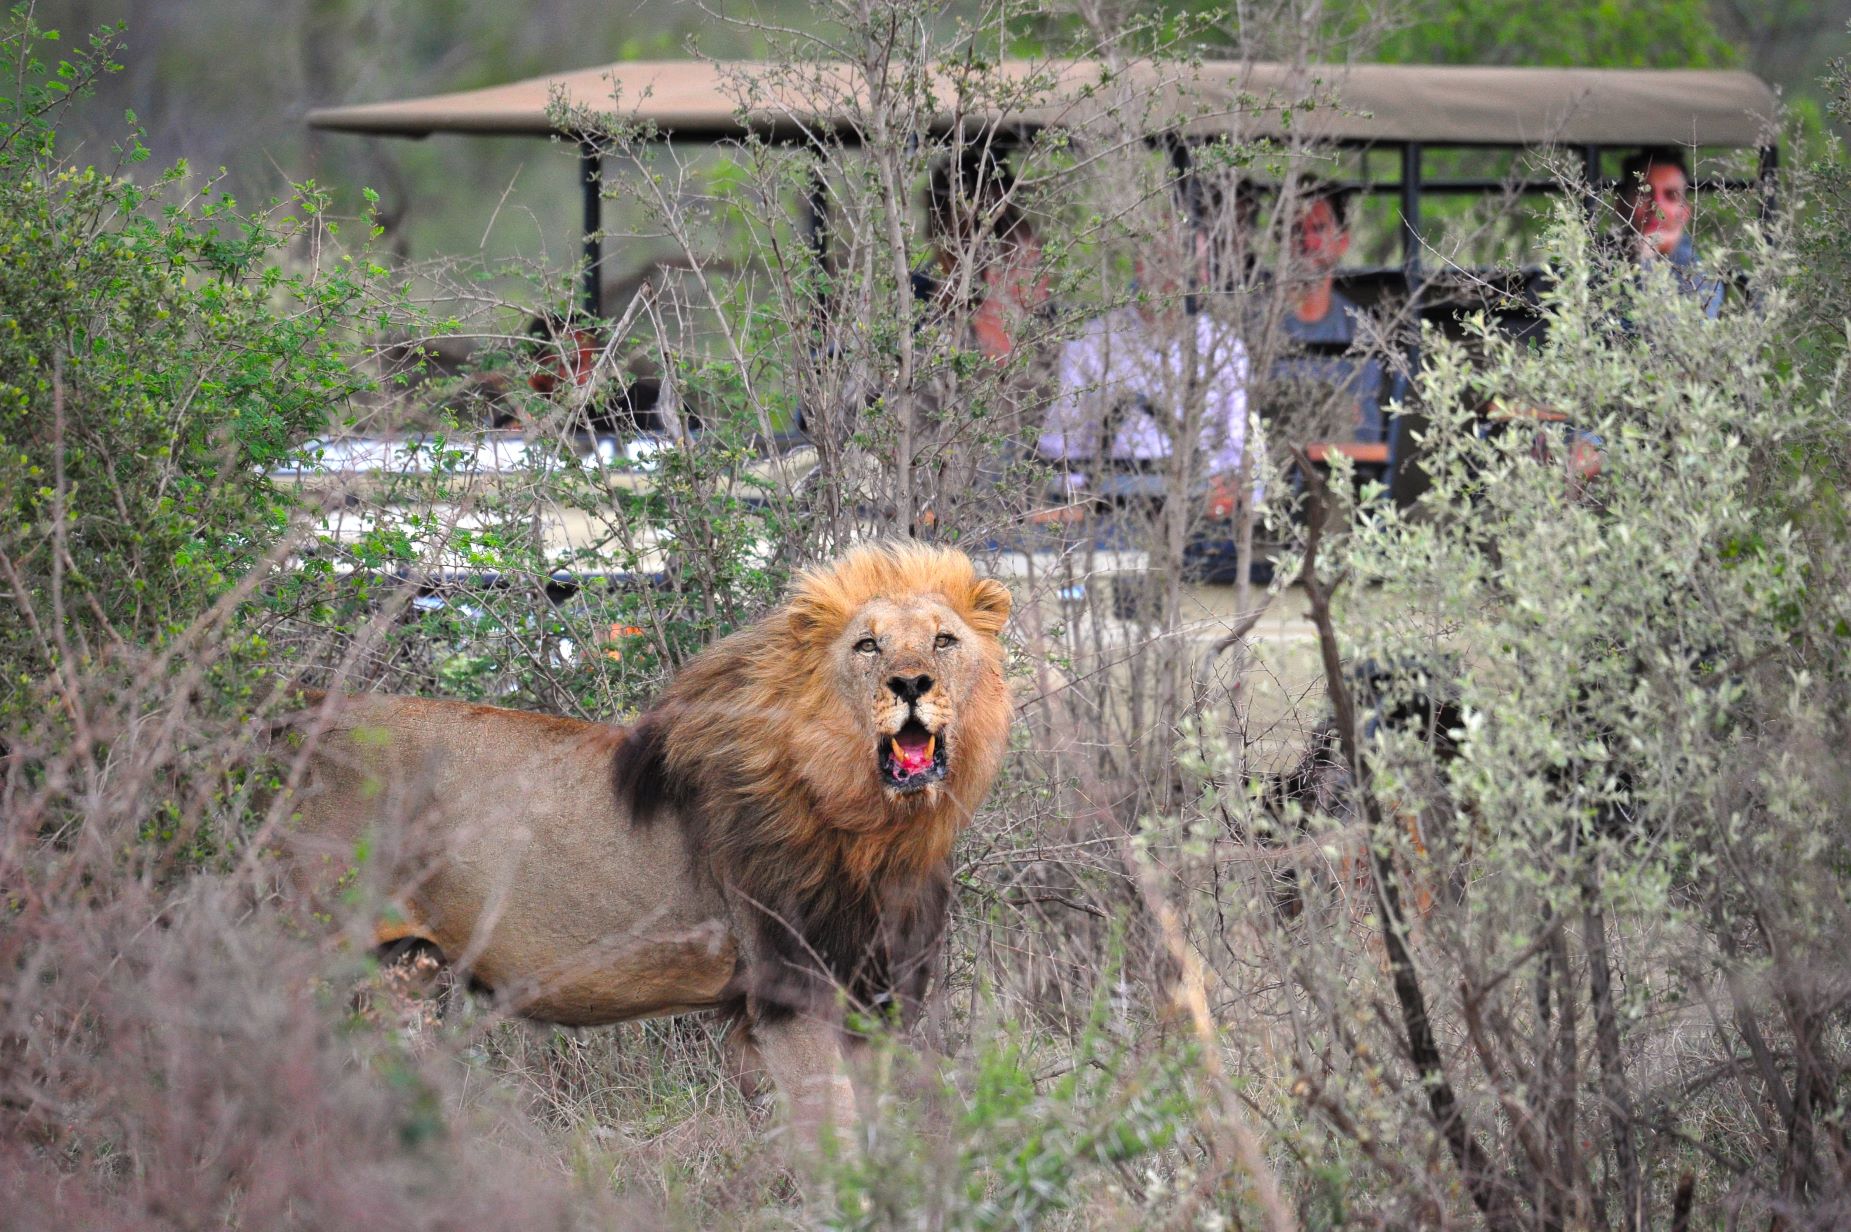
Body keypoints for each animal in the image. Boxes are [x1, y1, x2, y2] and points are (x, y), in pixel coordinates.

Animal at [284, 542, 1012, 1144]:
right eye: (867, 646)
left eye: (943, 640)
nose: (911, 683)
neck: (876, 830)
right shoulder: (789, 992)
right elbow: (833, 1141)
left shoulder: (873, 995)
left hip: (401, 967)